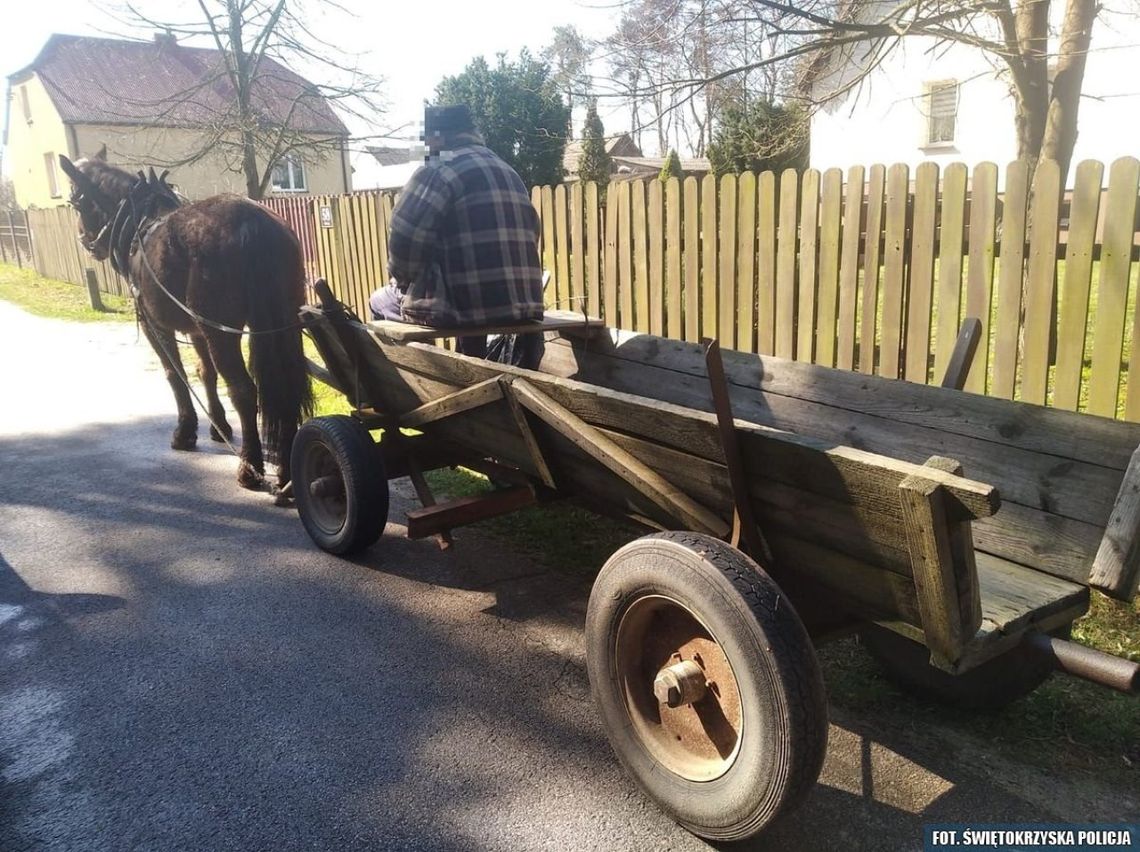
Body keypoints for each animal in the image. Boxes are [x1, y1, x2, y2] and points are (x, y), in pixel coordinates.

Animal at [58, 147, 312, 492]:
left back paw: (250, 467)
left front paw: (185, 431)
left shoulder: (154, 324)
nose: (86, 241)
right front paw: (218, 426)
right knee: (286, 385)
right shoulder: (196, 329)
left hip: (221, 331)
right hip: (279, 321)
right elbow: (205, 372)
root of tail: (254, 222)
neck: (139, 223)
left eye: (76, 202)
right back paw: (286, 470)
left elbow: (174, 374)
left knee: (244, 391)